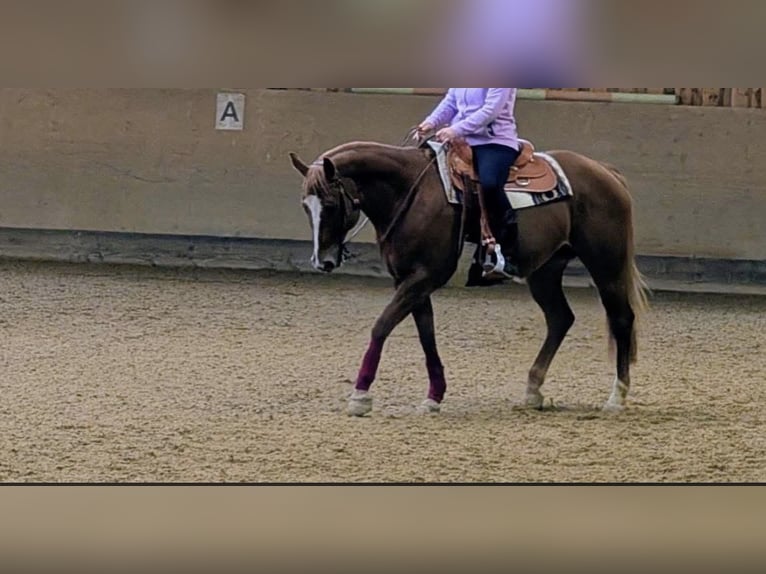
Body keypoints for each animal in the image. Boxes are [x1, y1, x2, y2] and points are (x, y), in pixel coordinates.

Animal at [289, 140, 649, 416]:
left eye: (331, 204)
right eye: (305, 206)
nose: (323, 261)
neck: (410, 192)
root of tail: (605, 171)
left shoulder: (422, 278)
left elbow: (381, 326)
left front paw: (360, 396)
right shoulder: (410, 281)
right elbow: (426, 334)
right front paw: (433, 397)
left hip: (606, 265)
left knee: (621, 319)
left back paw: (616, 397)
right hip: (544, 271)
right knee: (560, 318)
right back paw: (533, 390)